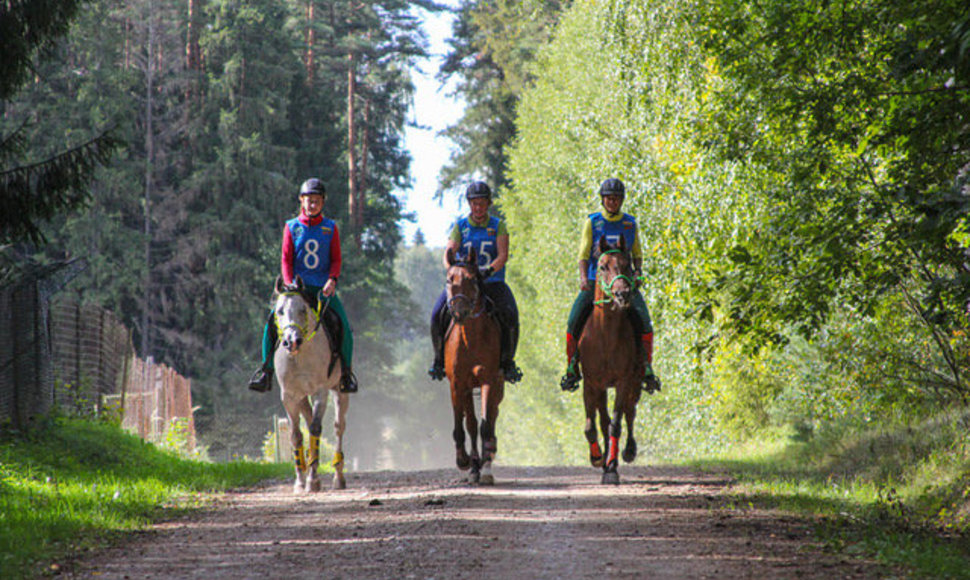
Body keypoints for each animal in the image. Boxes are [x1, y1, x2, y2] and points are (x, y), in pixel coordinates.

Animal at [272, 274, 348, 492]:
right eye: (279, 311)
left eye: (303, 310)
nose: (292, 341)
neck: (300, 356)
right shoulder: (289, 395)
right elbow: (296, 435)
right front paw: (300, 480)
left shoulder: (320, 391)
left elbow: (315, 429)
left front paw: (313, 480)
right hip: (301, 396)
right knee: (306, 418)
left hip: (340, 390)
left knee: (339, 426)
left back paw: (338, 477)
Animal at [446, 246, 506, 484]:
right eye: (449, 279)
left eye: (472, 280)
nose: (459, 312)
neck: (471, 339)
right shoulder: (458, 384)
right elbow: (465, 424)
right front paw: (466, 463)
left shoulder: (489, 380)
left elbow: (485, 424)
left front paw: (485, 466)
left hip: (498, 384)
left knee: (493, 415)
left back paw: (488, 457)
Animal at [576, 236, 644, 484]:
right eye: (603, 266)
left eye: (627, 265)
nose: (623, 294)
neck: (605, 335)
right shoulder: (591, 383)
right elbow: (592, 426)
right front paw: (598, 459)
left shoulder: (624, 382)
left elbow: (616, 424)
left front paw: (612, 468)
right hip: (602, 388)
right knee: (603, 421)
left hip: (635, 382)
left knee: (629, 413)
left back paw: (628, 451)